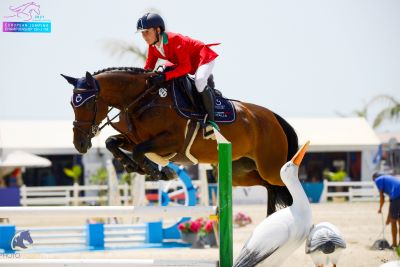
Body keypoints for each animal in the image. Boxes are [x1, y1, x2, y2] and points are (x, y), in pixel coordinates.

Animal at [61, 67, 296, 216]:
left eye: (87, 103)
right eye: (72, 104)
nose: (79, 144)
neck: (142, 99)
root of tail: (273, 117)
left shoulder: (170, 142)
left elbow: (139, 151)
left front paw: (161, 172)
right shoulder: (133, 138)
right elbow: (112, 143)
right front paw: (134, 166)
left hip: (270, 167)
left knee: (283, 184)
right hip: (241, 172)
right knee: (269, 187)